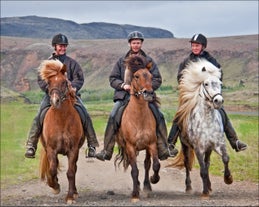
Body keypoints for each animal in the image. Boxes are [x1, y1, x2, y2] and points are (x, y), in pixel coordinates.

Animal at [38, 59, 85, 204]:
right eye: (48, 82)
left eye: (65, 82)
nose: (55, 101)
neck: (61, 120)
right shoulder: (51, 149)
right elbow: (52, 169)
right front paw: (55, 186)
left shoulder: (73, 149)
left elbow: (70, 172)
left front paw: (69, 196)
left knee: (74, 169)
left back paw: (74, 192)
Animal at [115, 55, 160, 203]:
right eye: (136, 76)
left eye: (151, 76)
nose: (149, 93)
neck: (138, 118)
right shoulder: (130, 146)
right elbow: (134, 170)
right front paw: (135, 193)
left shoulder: (152, 144)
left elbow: (155, 165)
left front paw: (153, 179)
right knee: (133, 166)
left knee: (147, 164)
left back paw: (146, 185)